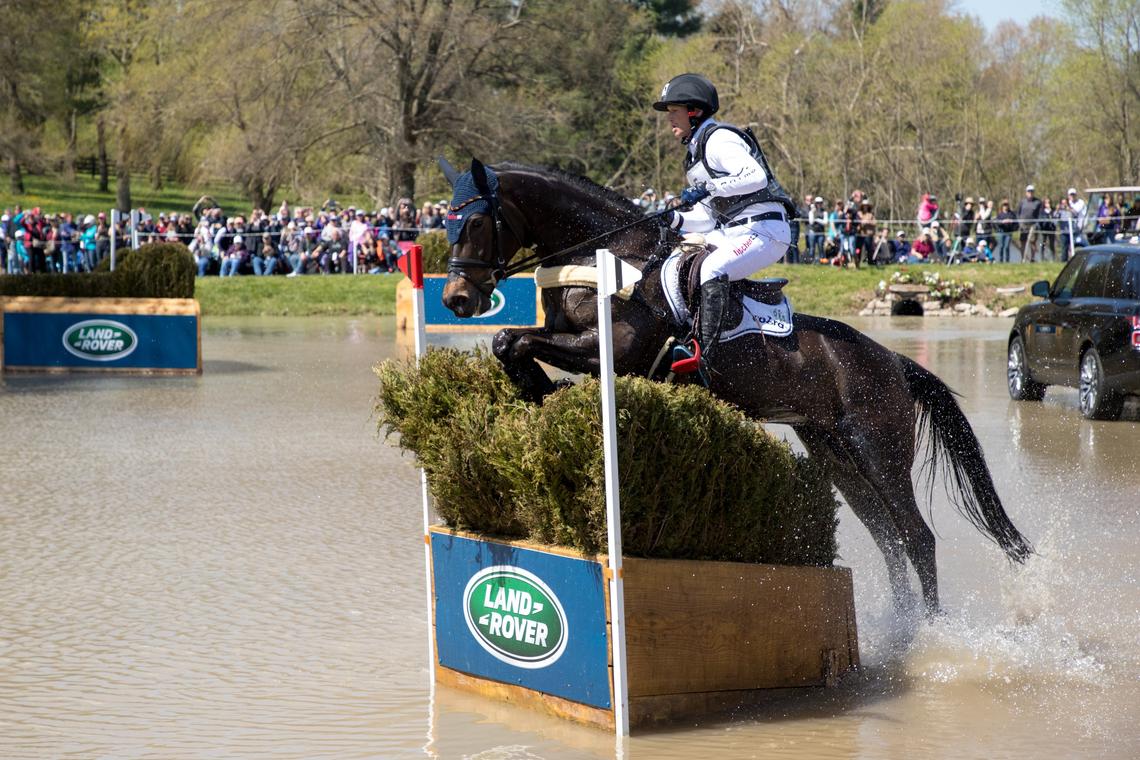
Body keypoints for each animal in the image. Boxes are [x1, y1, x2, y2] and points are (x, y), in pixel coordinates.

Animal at [438, 158, 1033, 618]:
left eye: (475, 223)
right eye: (446, 223)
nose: (456, 299)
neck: (605, 255)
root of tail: (895, 361)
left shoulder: (608, 349)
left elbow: (516, 341)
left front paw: (538, 389)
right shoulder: (575, 342)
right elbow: (509, 340)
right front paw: (536, 390)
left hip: (878, 450)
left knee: (916, 537)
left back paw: (927, 632)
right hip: (836, 454)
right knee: (888, 540)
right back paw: (903, 627)